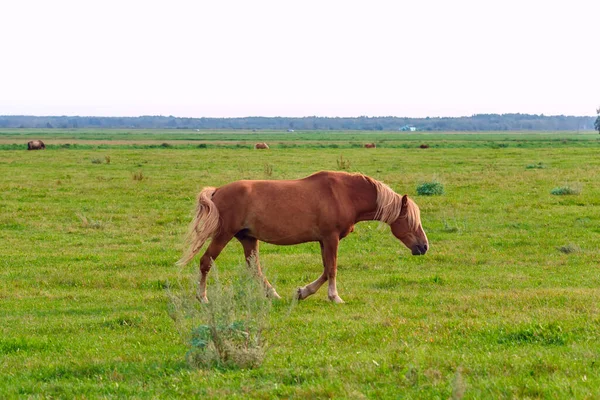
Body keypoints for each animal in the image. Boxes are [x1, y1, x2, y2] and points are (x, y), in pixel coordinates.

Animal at [176, 170, 428, 304]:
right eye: (410, 220)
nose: (424, 246)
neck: (344, 194)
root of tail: (217, 191)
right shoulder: (331, 238)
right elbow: (332, 269)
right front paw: (335, 297)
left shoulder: (324, 240)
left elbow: (326, 269)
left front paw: (303, 292)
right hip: (224, 235)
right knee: (206, 261)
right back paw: (203, 297)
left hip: (248, 239)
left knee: (254, 269)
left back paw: (272, 294)